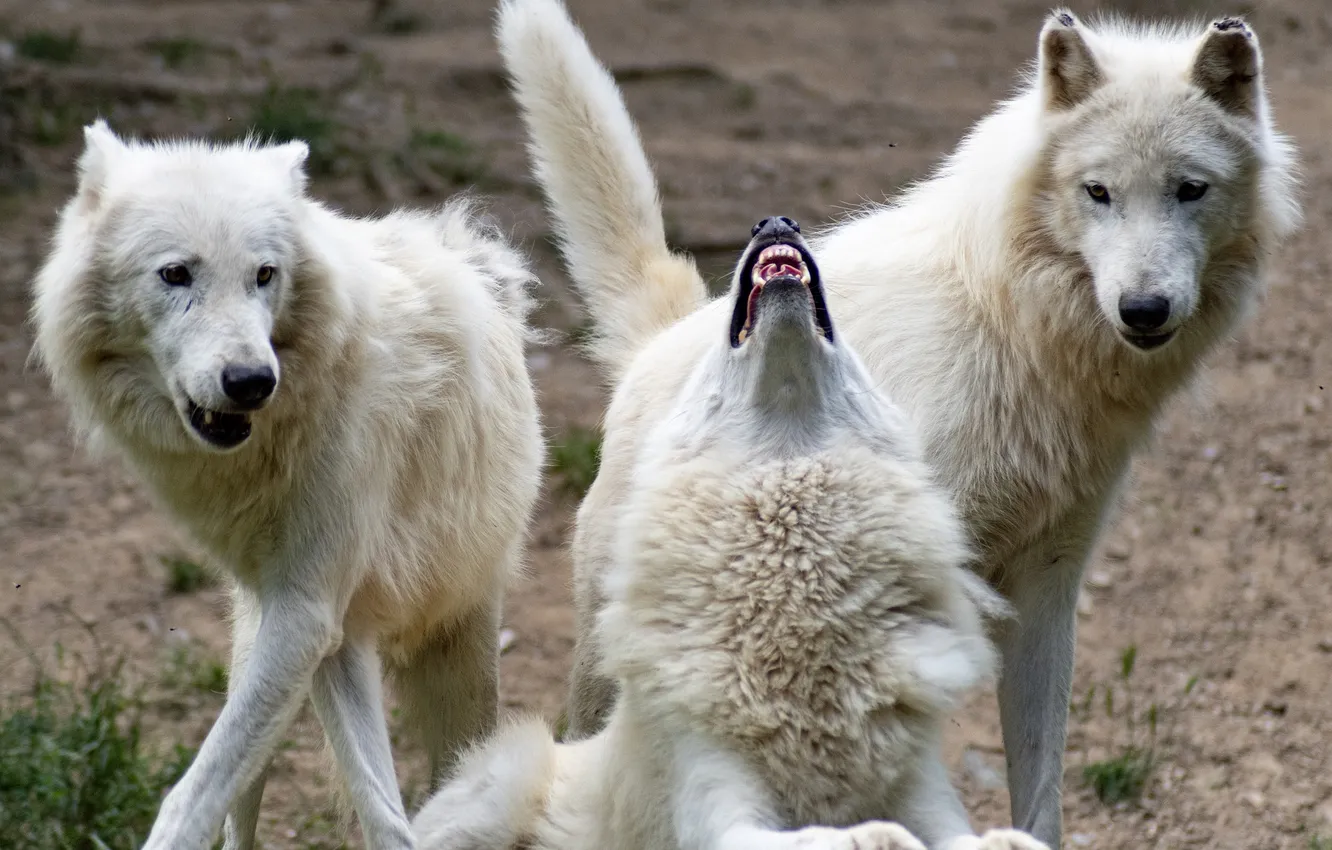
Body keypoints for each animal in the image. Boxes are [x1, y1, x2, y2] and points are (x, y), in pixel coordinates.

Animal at [30, 122, 545, 850]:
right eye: (176, 273)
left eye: (264, 275)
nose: (250, 381)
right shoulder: (313, 620)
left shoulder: (307, 612)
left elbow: (190, 800)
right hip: (277, 641)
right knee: (254, 804)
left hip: (453, 647)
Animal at [412, 215, 1047, 850]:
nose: (775, 222)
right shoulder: (717, 803)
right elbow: (820, 836)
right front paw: (872, 836)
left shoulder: (926, 791)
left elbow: (977, 837)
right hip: (507, 785)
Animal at [496, 1, 1300, 846]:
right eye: (1099, 191)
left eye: (1189, 190)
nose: (1144, 309)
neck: (1014, 330)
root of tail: (664, 339)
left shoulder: (1049, 582)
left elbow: (1040, 789)